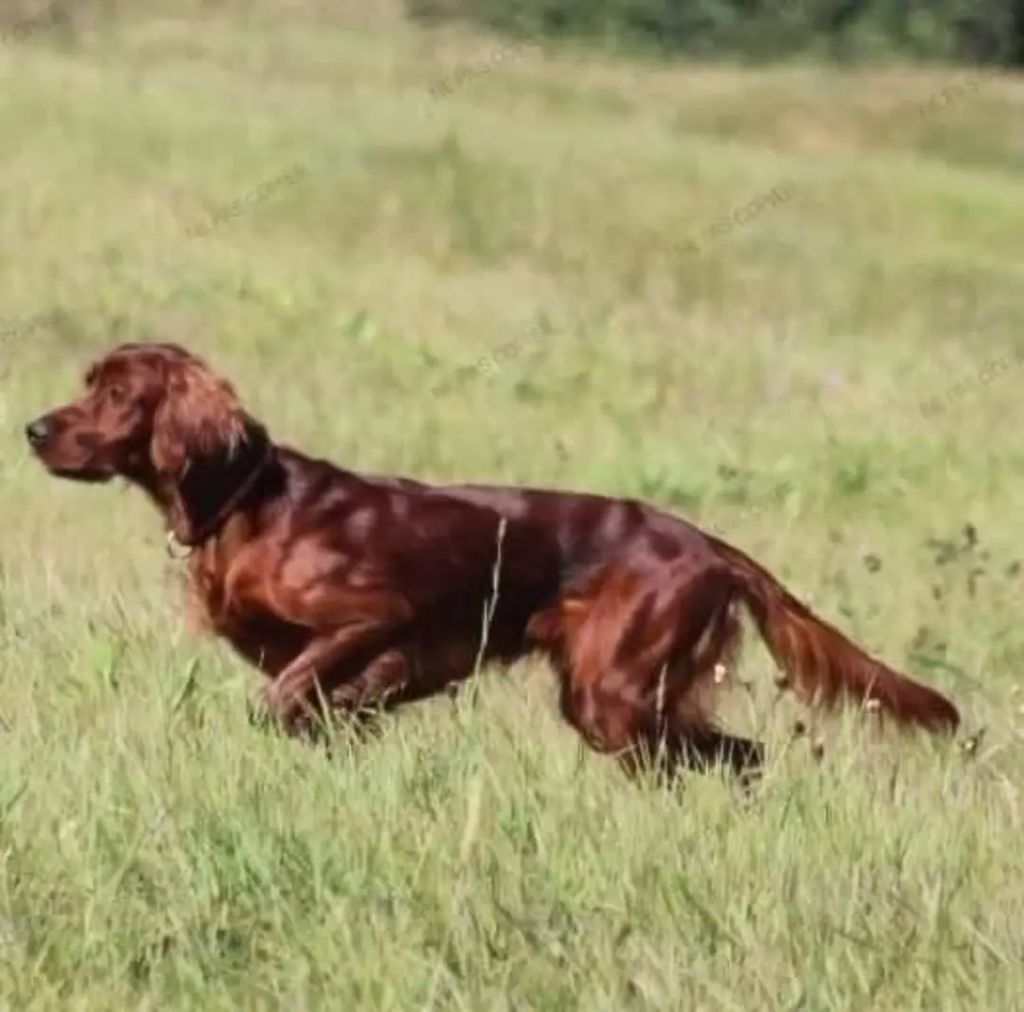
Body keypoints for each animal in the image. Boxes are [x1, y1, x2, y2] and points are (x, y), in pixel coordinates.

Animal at [25, 344, 958, 778]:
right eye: (88, 382)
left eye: (119, 394)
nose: (33, 429)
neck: (243, 502)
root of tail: (709, 545)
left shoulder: (375, 617)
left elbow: (289, 696)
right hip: (614, 698)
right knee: (736, 756)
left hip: (615, 691)